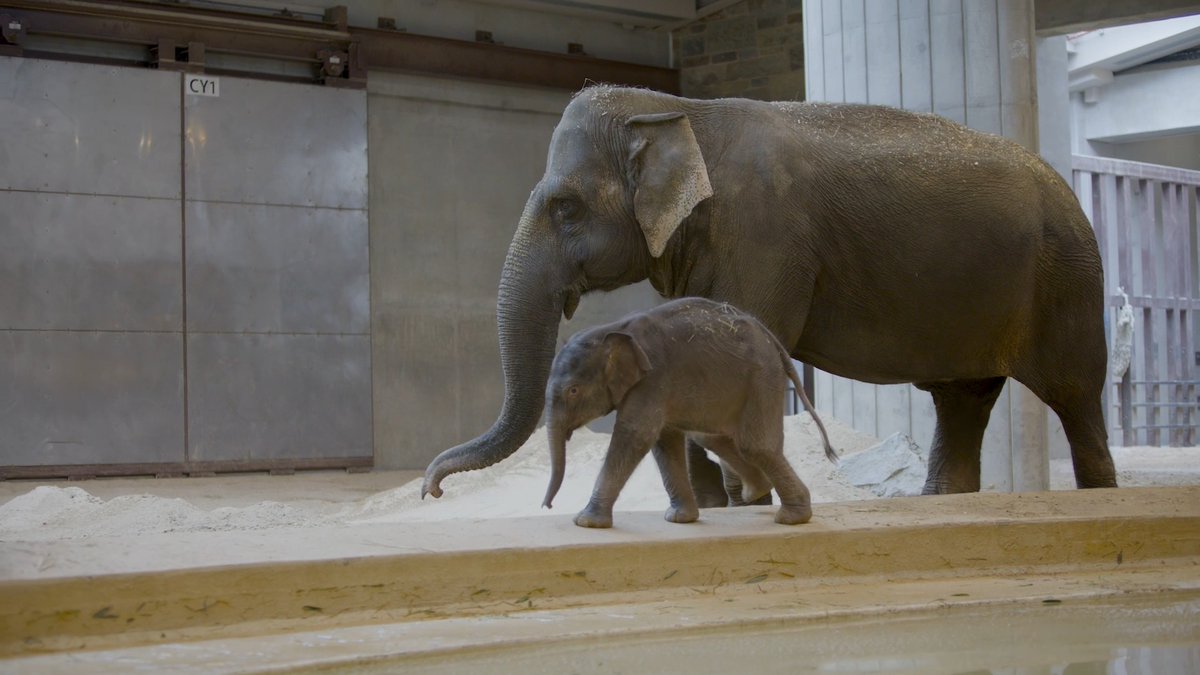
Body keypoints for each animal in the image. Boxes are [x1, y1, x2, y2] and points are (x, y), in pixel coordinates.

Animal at [421, 84, 1118, 500]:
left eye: (565, 208)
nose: (432, 487)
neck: (678, 108)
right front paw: (718, 503)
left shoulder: (765, 236)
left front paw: (743, 501)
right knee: (961, 401)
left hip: (1068, 282)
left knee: (1075, 399)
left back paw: (1101, 493)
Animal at [541, 297, 838, 528]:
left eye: (573, 391)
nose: (547, 507)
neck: (611, 330)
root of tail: (772, 340)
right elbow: (664, 441)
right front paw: (678, 519)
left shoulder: (653, 379)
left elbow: (636, 435)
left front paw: (585, 522)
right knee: (714, 439)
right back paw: (756, 490)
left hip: (762, 379)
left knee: (755, 445)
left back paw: (791, 518)